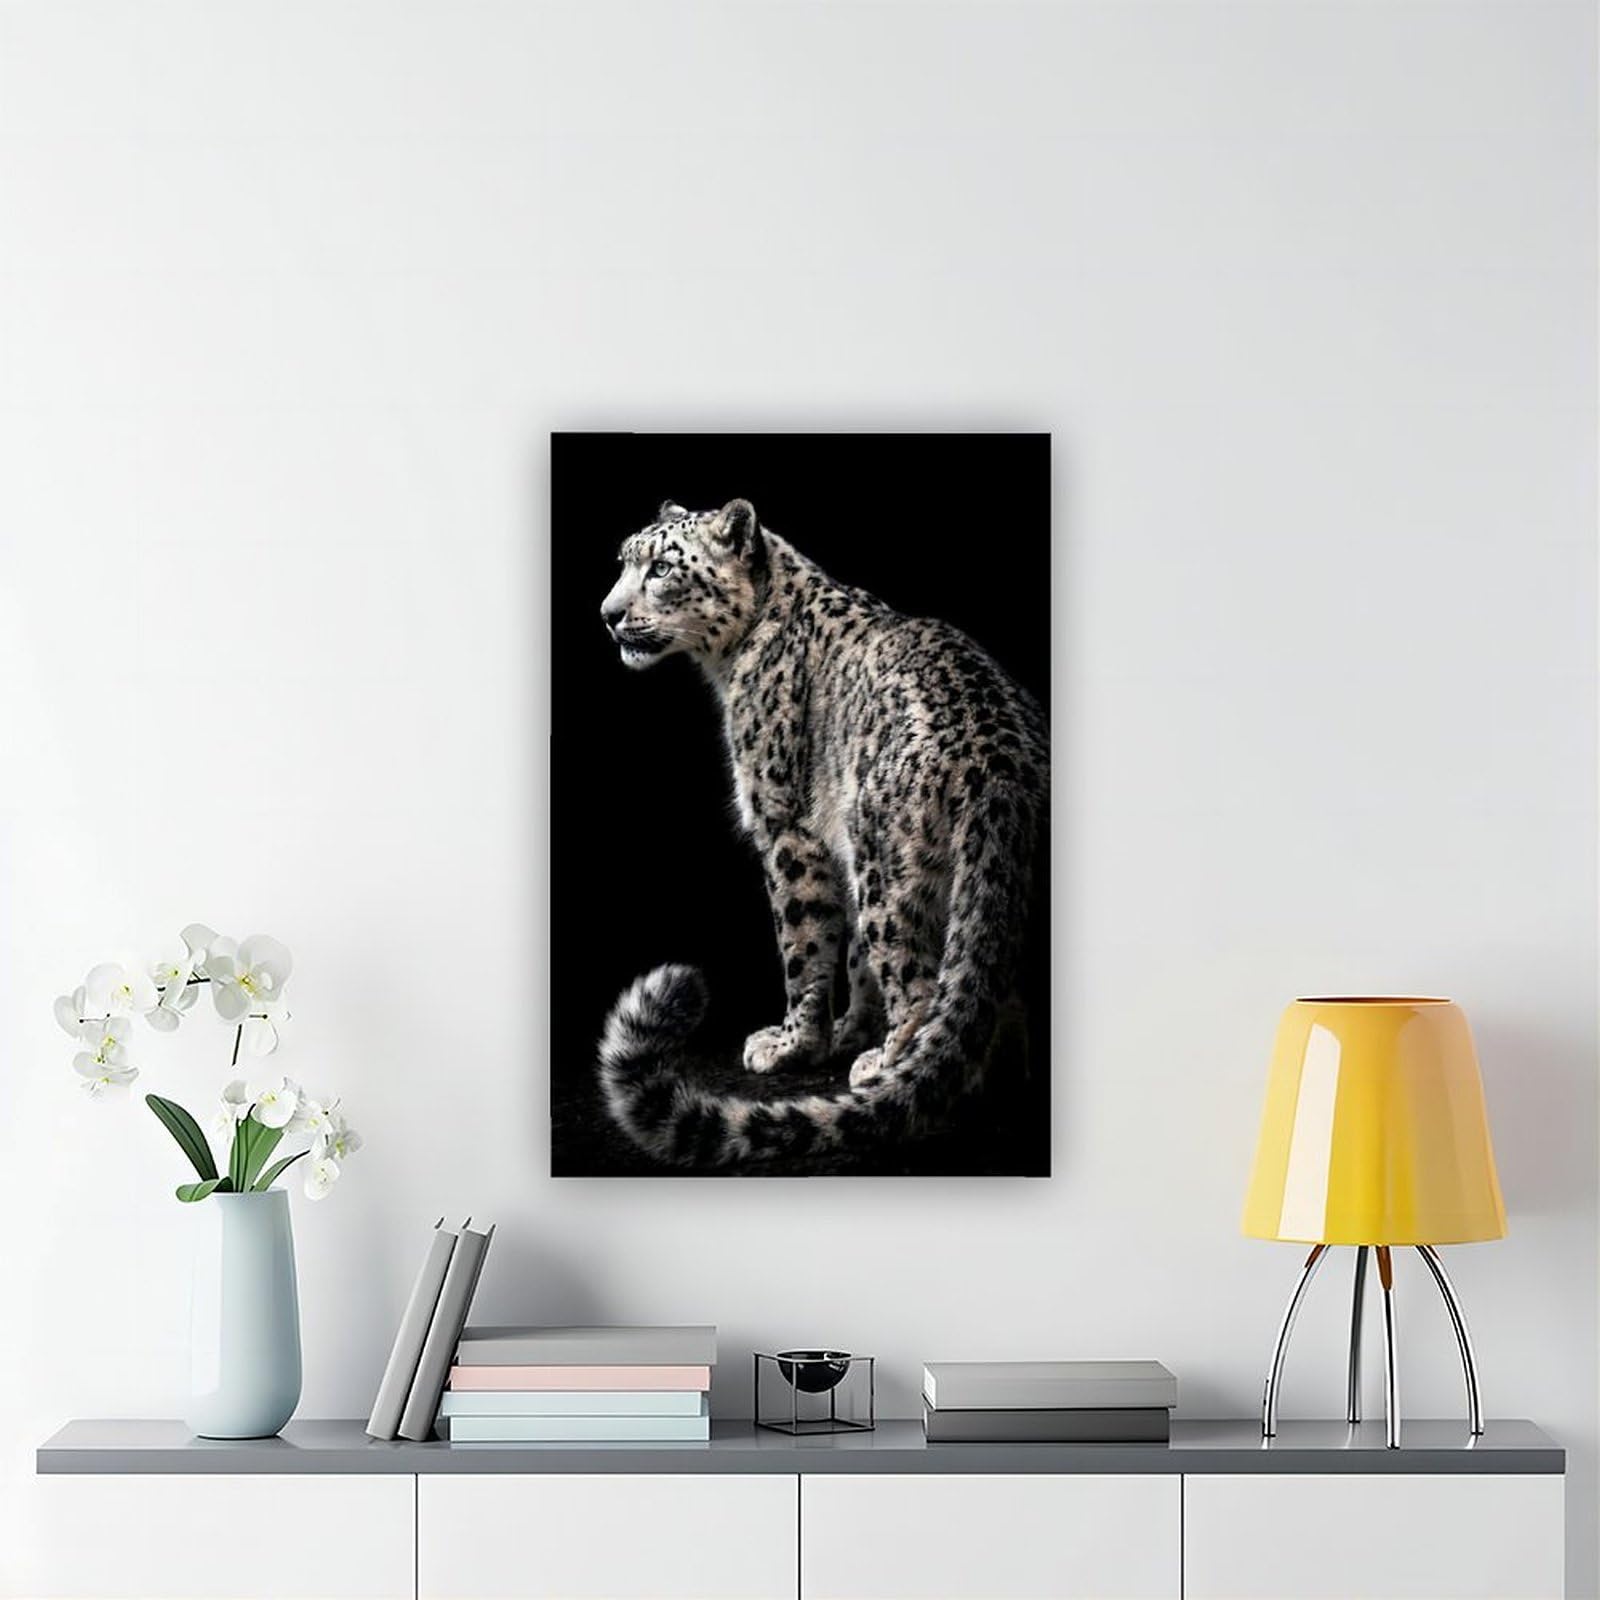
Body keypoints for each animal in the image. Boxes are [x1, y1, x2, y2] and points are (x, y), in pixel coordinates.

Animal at [594, 497, 1048, 1169]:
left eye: (662, 568)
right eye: (624, 560)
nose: (609, 614)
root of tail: (1001, 767)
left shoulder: (786, 827)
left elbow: (803, 947)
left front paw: (793, 1045)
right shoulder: (837, 844)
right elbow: (854, 957)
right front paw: (849, 1029)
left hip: (888, 868)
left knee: (919, 982)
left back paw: (889, 1065)